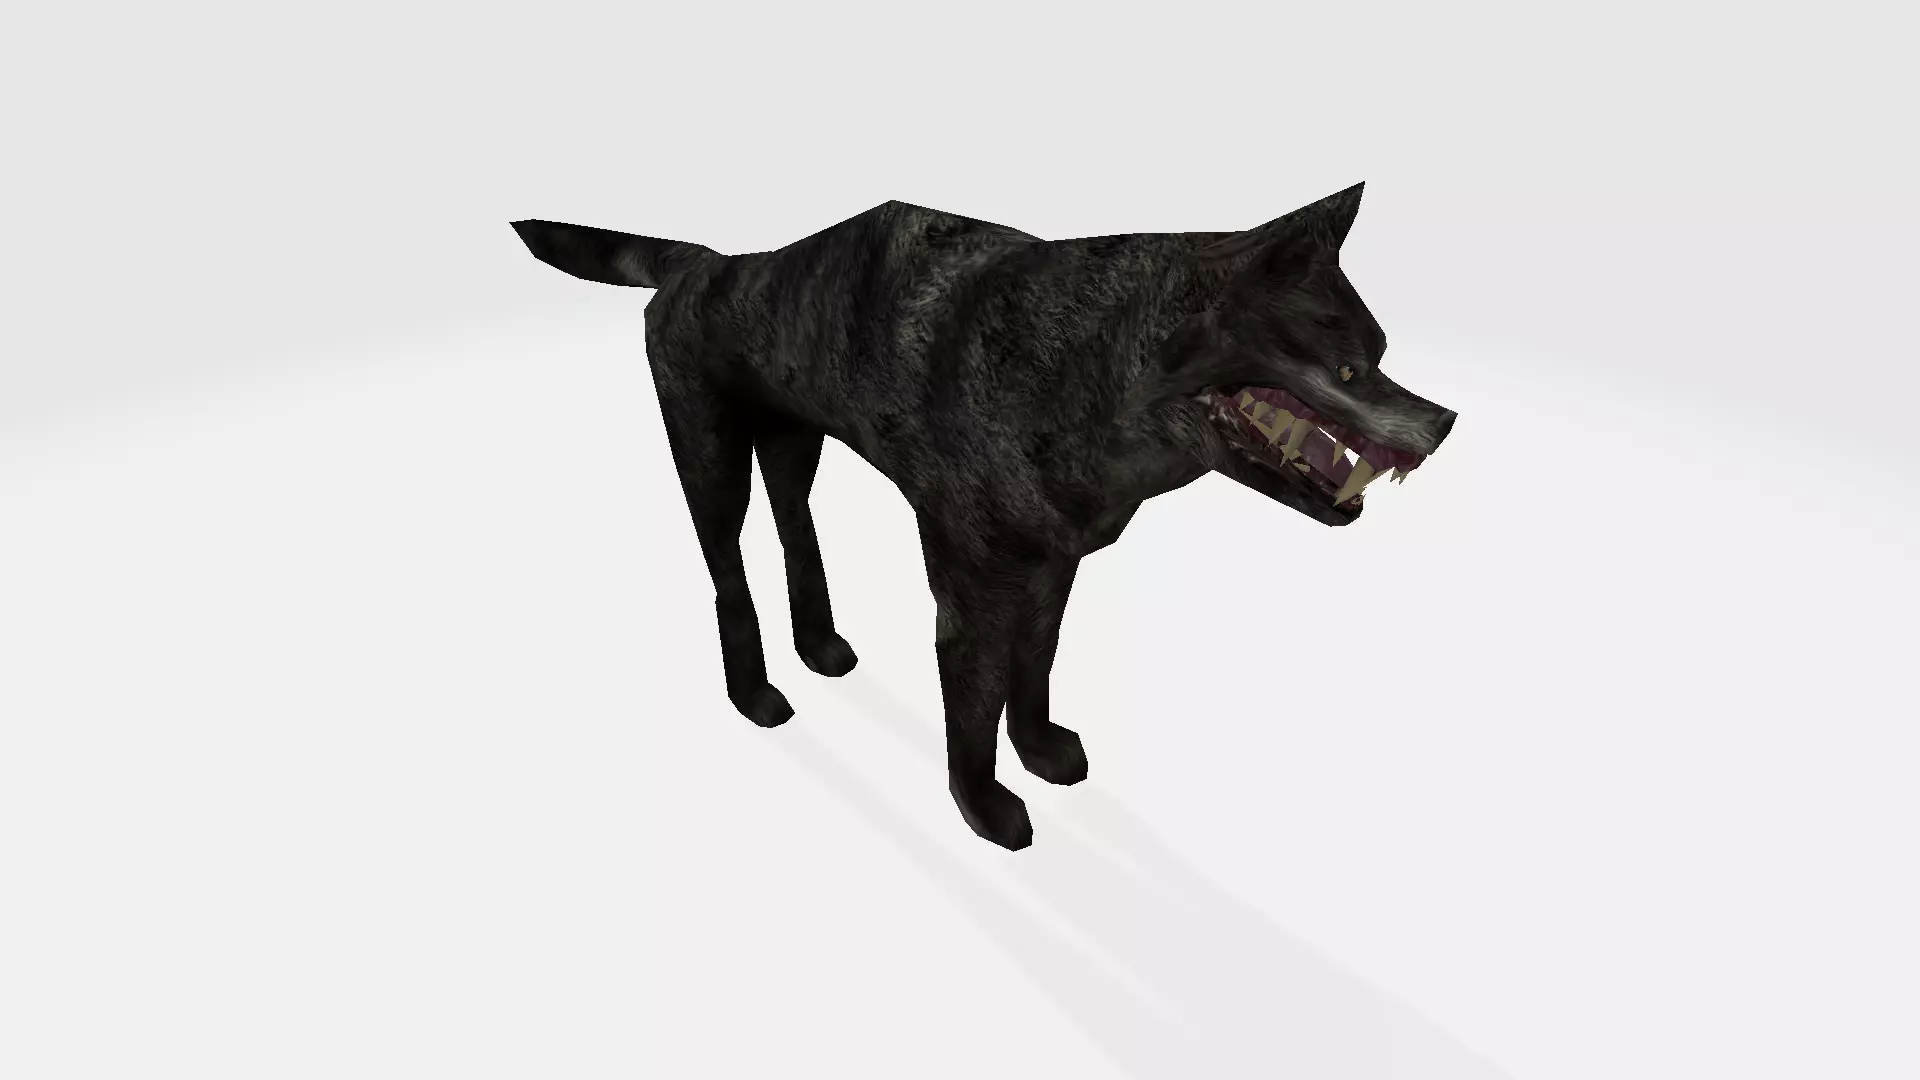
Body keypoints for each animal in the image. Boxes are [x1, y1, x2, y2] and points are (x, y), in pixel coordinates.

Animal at [510, 183, 1457, 850]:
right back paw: (756, 693)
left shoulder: (1051, 565)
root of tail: (703, 263)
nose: (1446, 421)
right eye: (1346, 365)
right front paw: (985, 808)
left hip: (793, 445)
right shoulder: (968, 590)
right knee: (727, 569)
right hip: (710, 462)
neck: (1084, 369)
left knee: (796, 530)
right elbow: (972, 707)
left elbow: (1033, 672)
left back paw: (821, 648)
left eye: (1380, 355)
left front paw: (1040, 753)